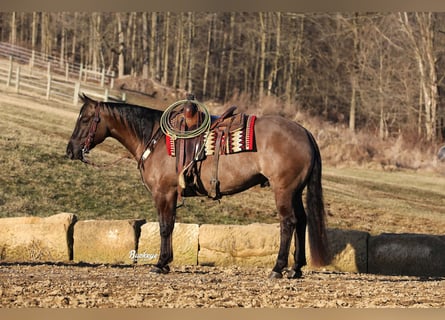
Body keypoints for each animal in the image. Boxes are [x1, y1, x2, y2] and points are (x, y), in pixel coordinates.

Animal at [66, 94, 330, 278]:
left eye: (85, 119)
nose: (71, 150)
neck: (154, 138)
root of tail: (305, 132)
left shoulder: (164, 193)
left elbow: (165, 226)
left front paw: (161, 263)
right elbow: (170, 225)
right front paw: (166, 262)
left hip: (283, 191)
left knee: (288, 223)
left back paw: (277, 268)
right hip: (295, 191)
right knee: (302, 222)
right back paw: (295, 269)